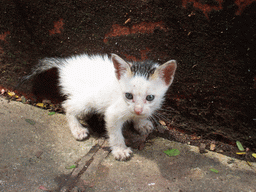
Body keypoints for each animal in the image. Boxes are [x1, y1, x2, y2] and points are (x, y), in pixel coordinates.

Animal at [26, 54, 177, 160]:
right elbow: (115, 133)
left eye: (150, 97)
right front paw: (120, 150)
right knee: (68, 105)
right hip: (88, 98)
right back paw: (77, 129)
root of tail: (66, 65)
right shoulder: (113, 112)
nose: (138, 110)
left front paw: (141, 123)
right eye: (128, 95)